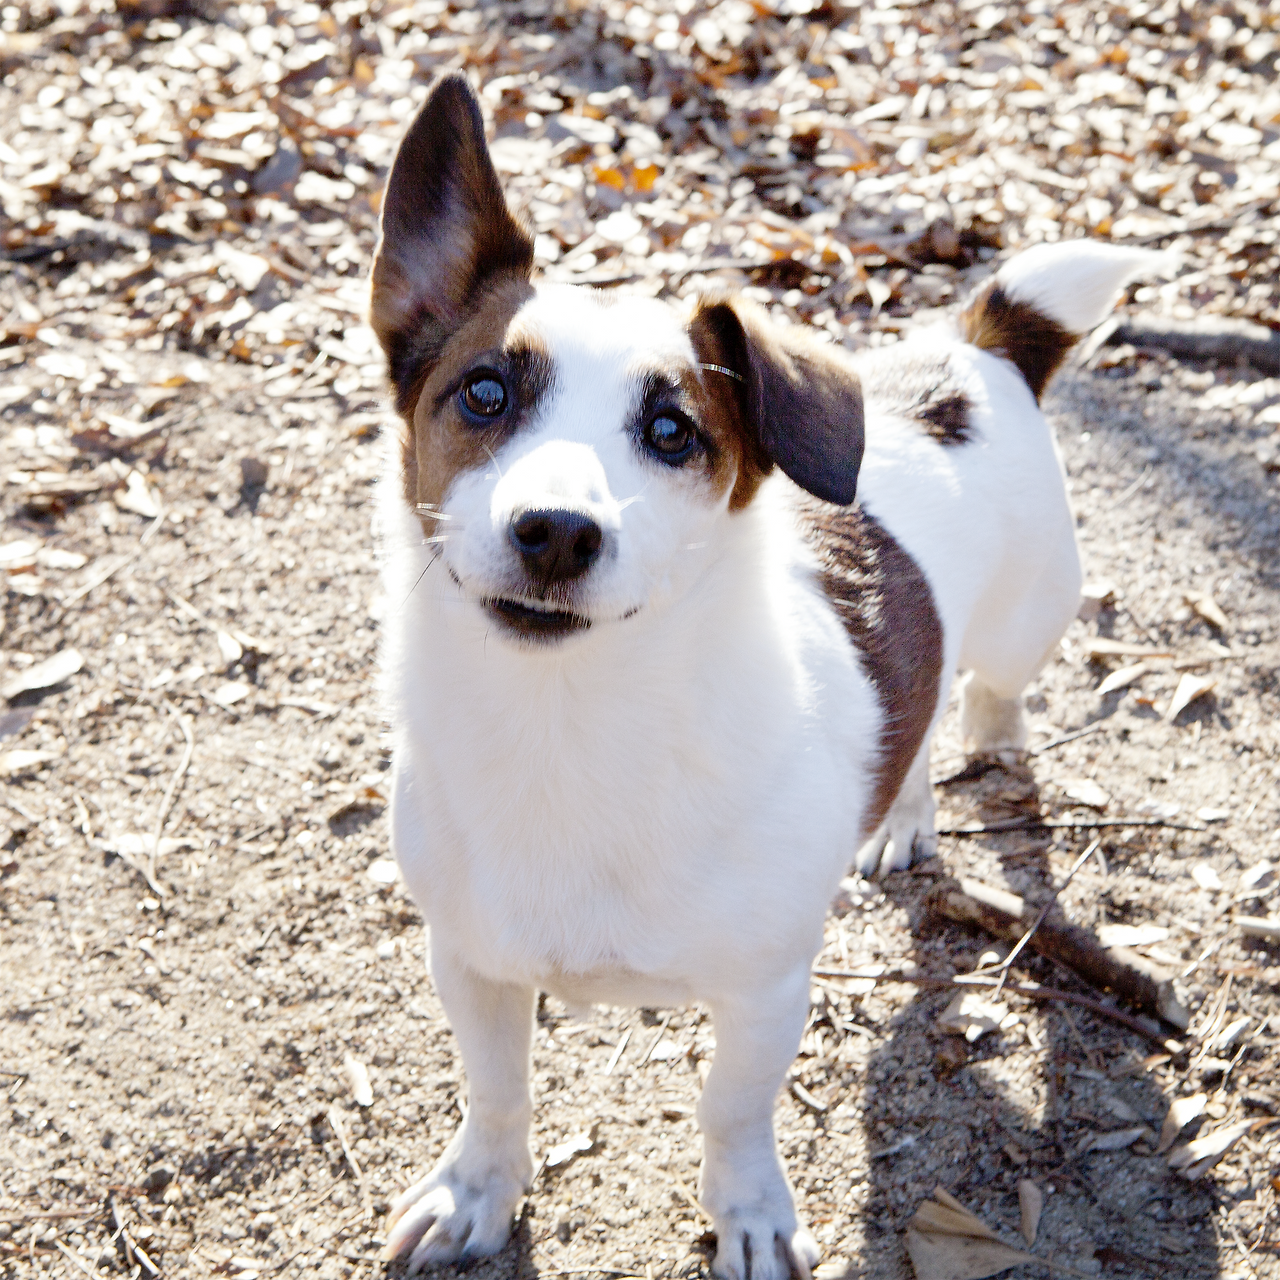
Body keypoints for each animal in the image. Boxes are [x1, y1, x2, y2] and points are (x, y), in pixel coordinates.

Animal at [368, 72, 1165, 1280]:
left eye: (670, 429)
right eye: (484, 395)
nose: (555, 530)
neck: (575, 730)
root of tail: (968, 352)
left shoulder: (764, 992)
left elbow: (730, 1111)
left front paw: (748, 1213)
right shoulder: (471, 964)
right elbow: (495, 1092)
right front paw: (478, 1192)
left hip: (1027, 622)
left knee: (984, 690)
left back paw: (988, 744)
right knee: (914, 718)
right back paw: (898, 814)